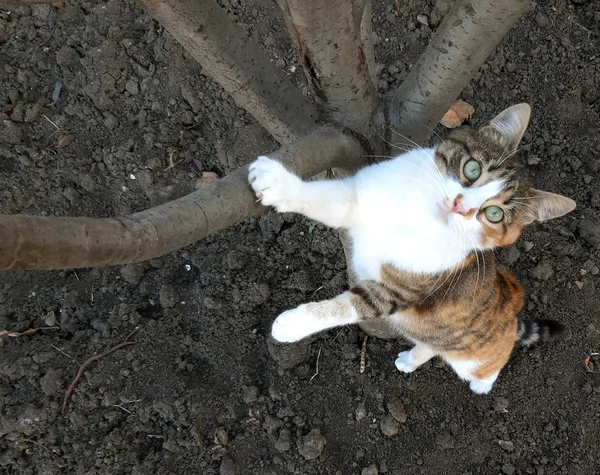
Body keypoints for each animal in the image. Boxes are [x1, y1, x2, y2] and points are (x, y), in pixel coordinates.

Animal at [248, 104, 576, 394]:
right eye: (472, 169)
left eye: (493, 214)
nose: (460, 206)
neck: (417, 214)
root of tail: (511, 312)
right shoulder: (359, 198)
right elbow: (321, 199)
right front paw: (277, 184)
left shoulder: (399, 290)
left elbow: (347, 307)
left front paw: (292, 324)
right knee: (431, 345)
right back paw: (411, 358)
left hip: (478, 356)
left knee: (490, 361)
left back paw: (482, 384)